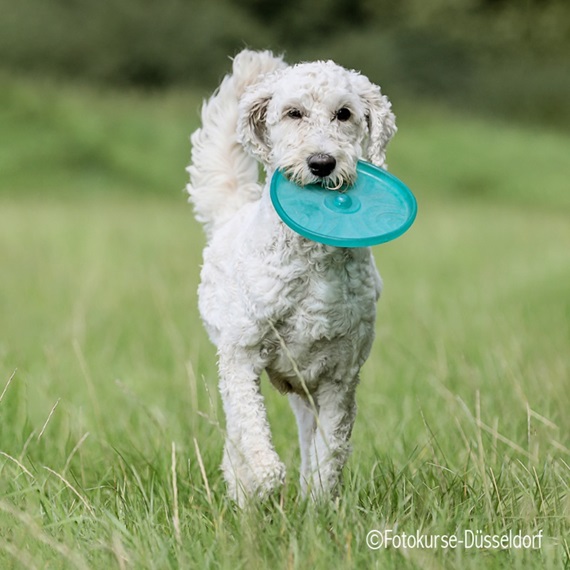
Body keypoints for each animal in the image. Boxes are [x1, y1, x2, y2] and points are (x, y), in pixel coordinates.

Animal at [186, 48, 394, 502]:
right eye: (293, 113)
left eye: (344, 113)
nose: (322, 163)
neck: (313, 263)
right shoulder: (241, 356)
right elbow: (252, 428)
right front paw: (264, 478)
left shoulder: (339, 378)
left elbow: (329, 453)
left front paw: (318, 504)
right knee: (236, 434)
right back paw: (245, 489)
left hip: (303, 391)